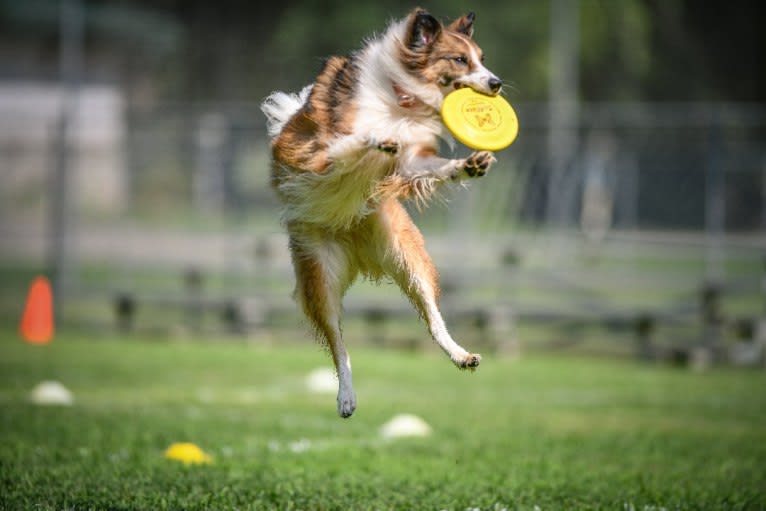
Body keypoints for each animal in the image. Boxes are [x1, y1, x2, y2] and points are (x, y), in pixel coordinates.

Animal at [264, 7, 504, 416]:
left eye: (482, 58)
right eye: (460, 59)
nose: (497, 83)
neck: (402, 98)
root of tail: (355, 245)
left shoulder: (410, 164)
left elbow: (432, 165)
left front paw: (469, 164)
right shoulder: (315, 155)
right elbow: (354, 141)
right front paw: (377, 136)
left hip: (408, 258)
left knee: (432, 319)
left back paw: (460, 355)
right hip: (319, 275)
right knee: (338, 343)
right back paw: (345, 396)